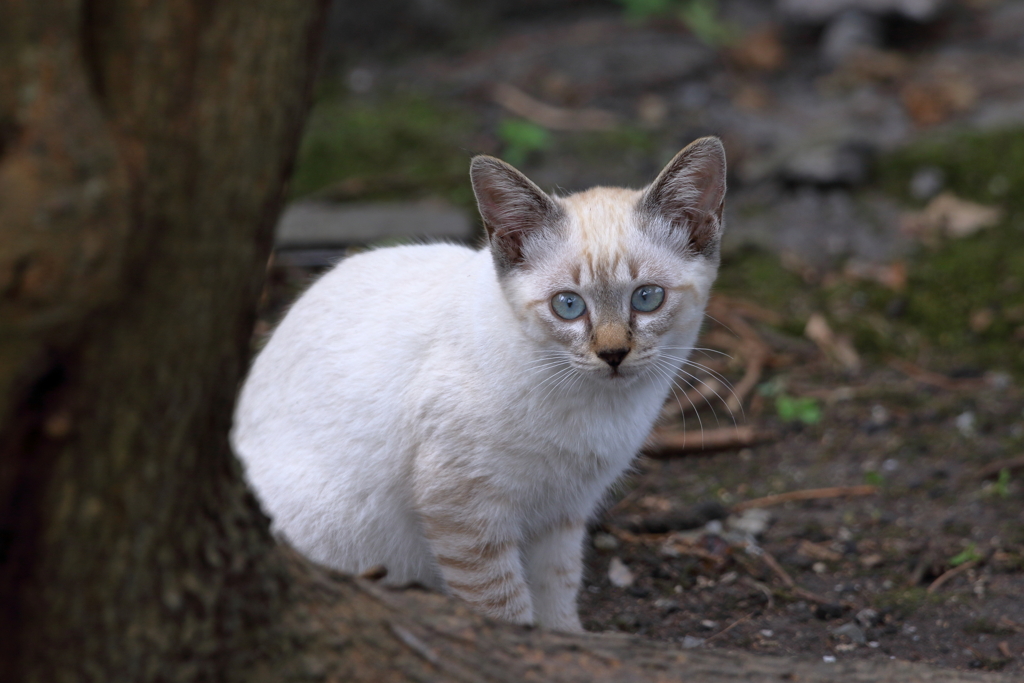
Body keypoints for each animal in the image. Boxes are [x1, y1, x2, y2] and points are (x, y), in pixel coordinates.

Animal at [232, 136, 729, 634]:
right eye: (568, 306)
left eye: (647, 298)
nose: (612, 355)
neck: (596, 409)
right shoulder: (465, 511)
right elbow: (505, 610)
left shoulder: (562, 511)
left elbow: (558, 592)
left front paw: (567, 640)